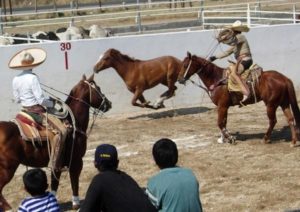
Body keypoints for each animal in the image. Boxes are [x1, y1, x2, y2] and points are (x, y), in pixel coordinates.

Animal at [0, 74, 112, 210]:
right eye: (98, 88)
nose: (109, 103)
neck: (73, 123)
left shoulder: (57, 162)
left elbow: (55, 182)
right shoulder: (76, 161)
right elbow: (74, 180)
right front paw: (76, 203)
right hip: (7, 168)